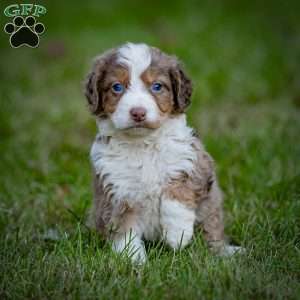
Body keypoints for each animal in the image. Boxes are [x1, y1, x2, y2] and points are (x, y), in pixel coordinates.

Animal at [85, 42, 241, 262]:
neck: (143, 145)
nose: (138, 113)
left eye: (157, 86)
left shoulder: (192, 163)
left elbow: (176, 195)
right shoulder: (116, 190)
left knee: (212, 233)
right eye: (117, 87)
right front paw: (133, 260)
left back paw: (226, 252)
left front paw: (178, 235)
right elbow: (125, 229)